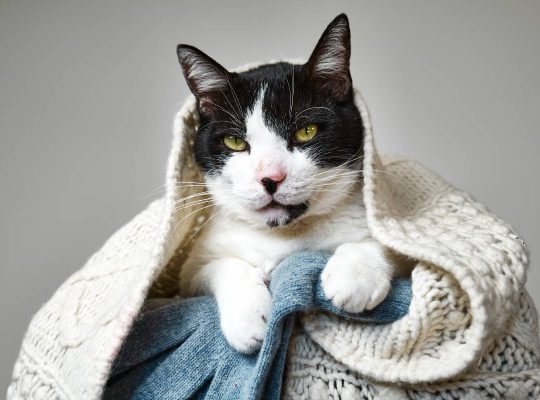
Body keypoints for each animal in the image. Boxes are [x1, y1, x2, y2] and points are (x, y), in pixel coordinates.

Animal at [177, 14, 392, 354]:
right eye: (235, 141)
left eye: (306, 131)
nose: (270, 178)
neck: (283, 237)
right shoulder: (188, 274)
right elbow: (220, 265)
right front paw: (249, 318)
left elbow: (386, 242)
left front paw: (356, 275)